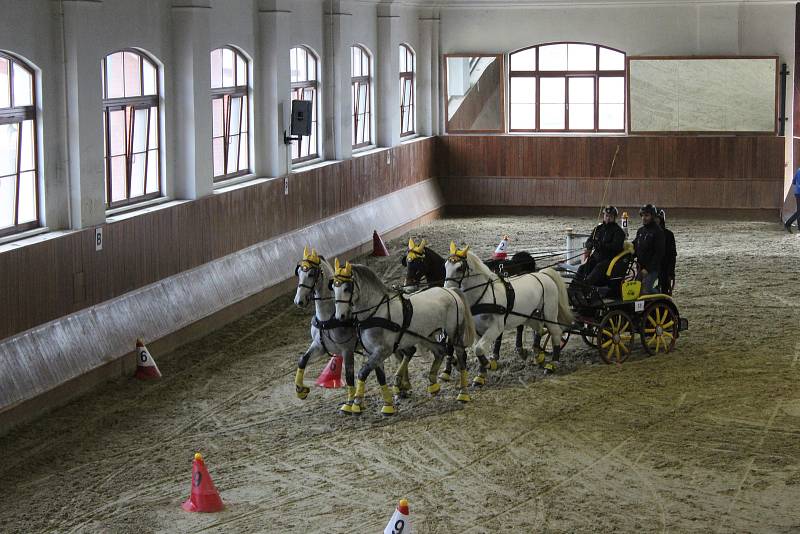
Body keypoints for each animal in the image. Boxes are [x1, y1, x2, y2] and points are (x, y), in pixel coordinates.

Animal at [330, 262, 476, 416]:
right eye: (333, 287)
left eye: (347, 288)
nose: (340, 316)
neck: (377, 313)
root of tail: (450, 291)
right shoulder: (373, 352)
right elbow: (380, 377)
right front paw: (388, 405)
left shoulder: (383, 350)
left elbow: (362, 373)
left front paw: (357, 403)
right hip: (426, 336)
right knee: (440, 351)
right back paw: (433, 384)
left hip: (454, 332)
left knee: (460, 356)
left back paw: (463, 393)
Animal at [444, 243, 576, 386]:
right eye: (445, 265)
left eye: (459, 268)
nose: (447, 290)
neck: (485, 295)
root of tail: (543, 275)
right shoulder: (479, 331)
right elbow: (479, 350)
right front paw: (480, 376)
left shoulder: (496, 328)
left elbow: (479, 349)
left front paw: (489, 365)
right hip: (529, 316)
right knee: (540, 328)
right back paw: (538, 355)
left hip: (549, 314)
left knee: (556, 332)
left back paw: (552, 364)